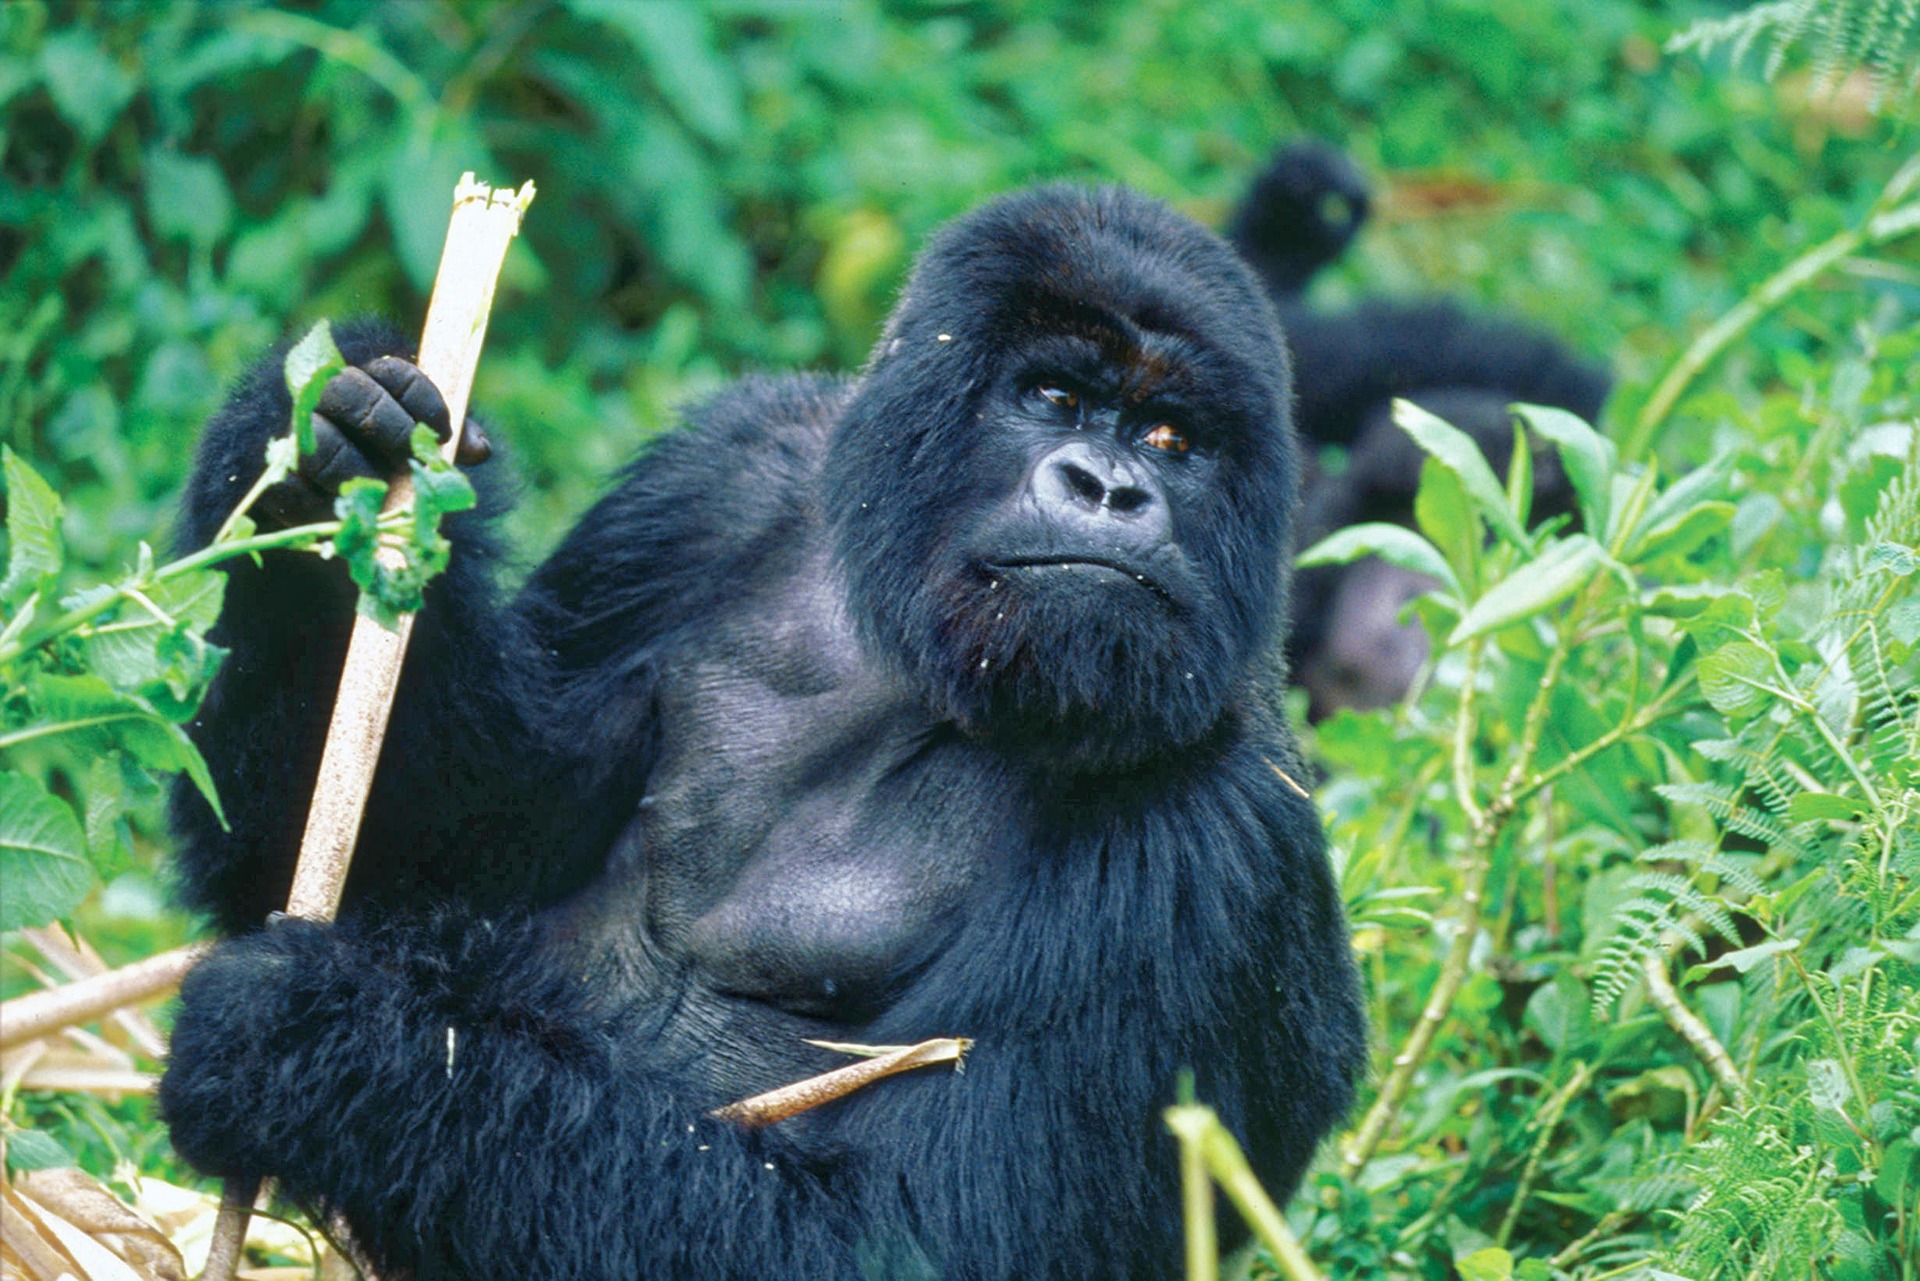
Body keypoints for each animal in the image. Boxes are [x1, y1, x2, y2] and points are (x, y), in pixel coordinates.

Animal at [161, 182, 1367, 1281]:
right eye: (1054, 396)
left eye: (1170, 438)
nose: (1111, 490)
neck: (921, 660)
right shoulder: (714, 483)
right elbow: (425, 858)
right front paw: (319, 450)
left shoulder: (1217, 845)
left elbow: (916, 1242)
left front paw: (311, 1040)